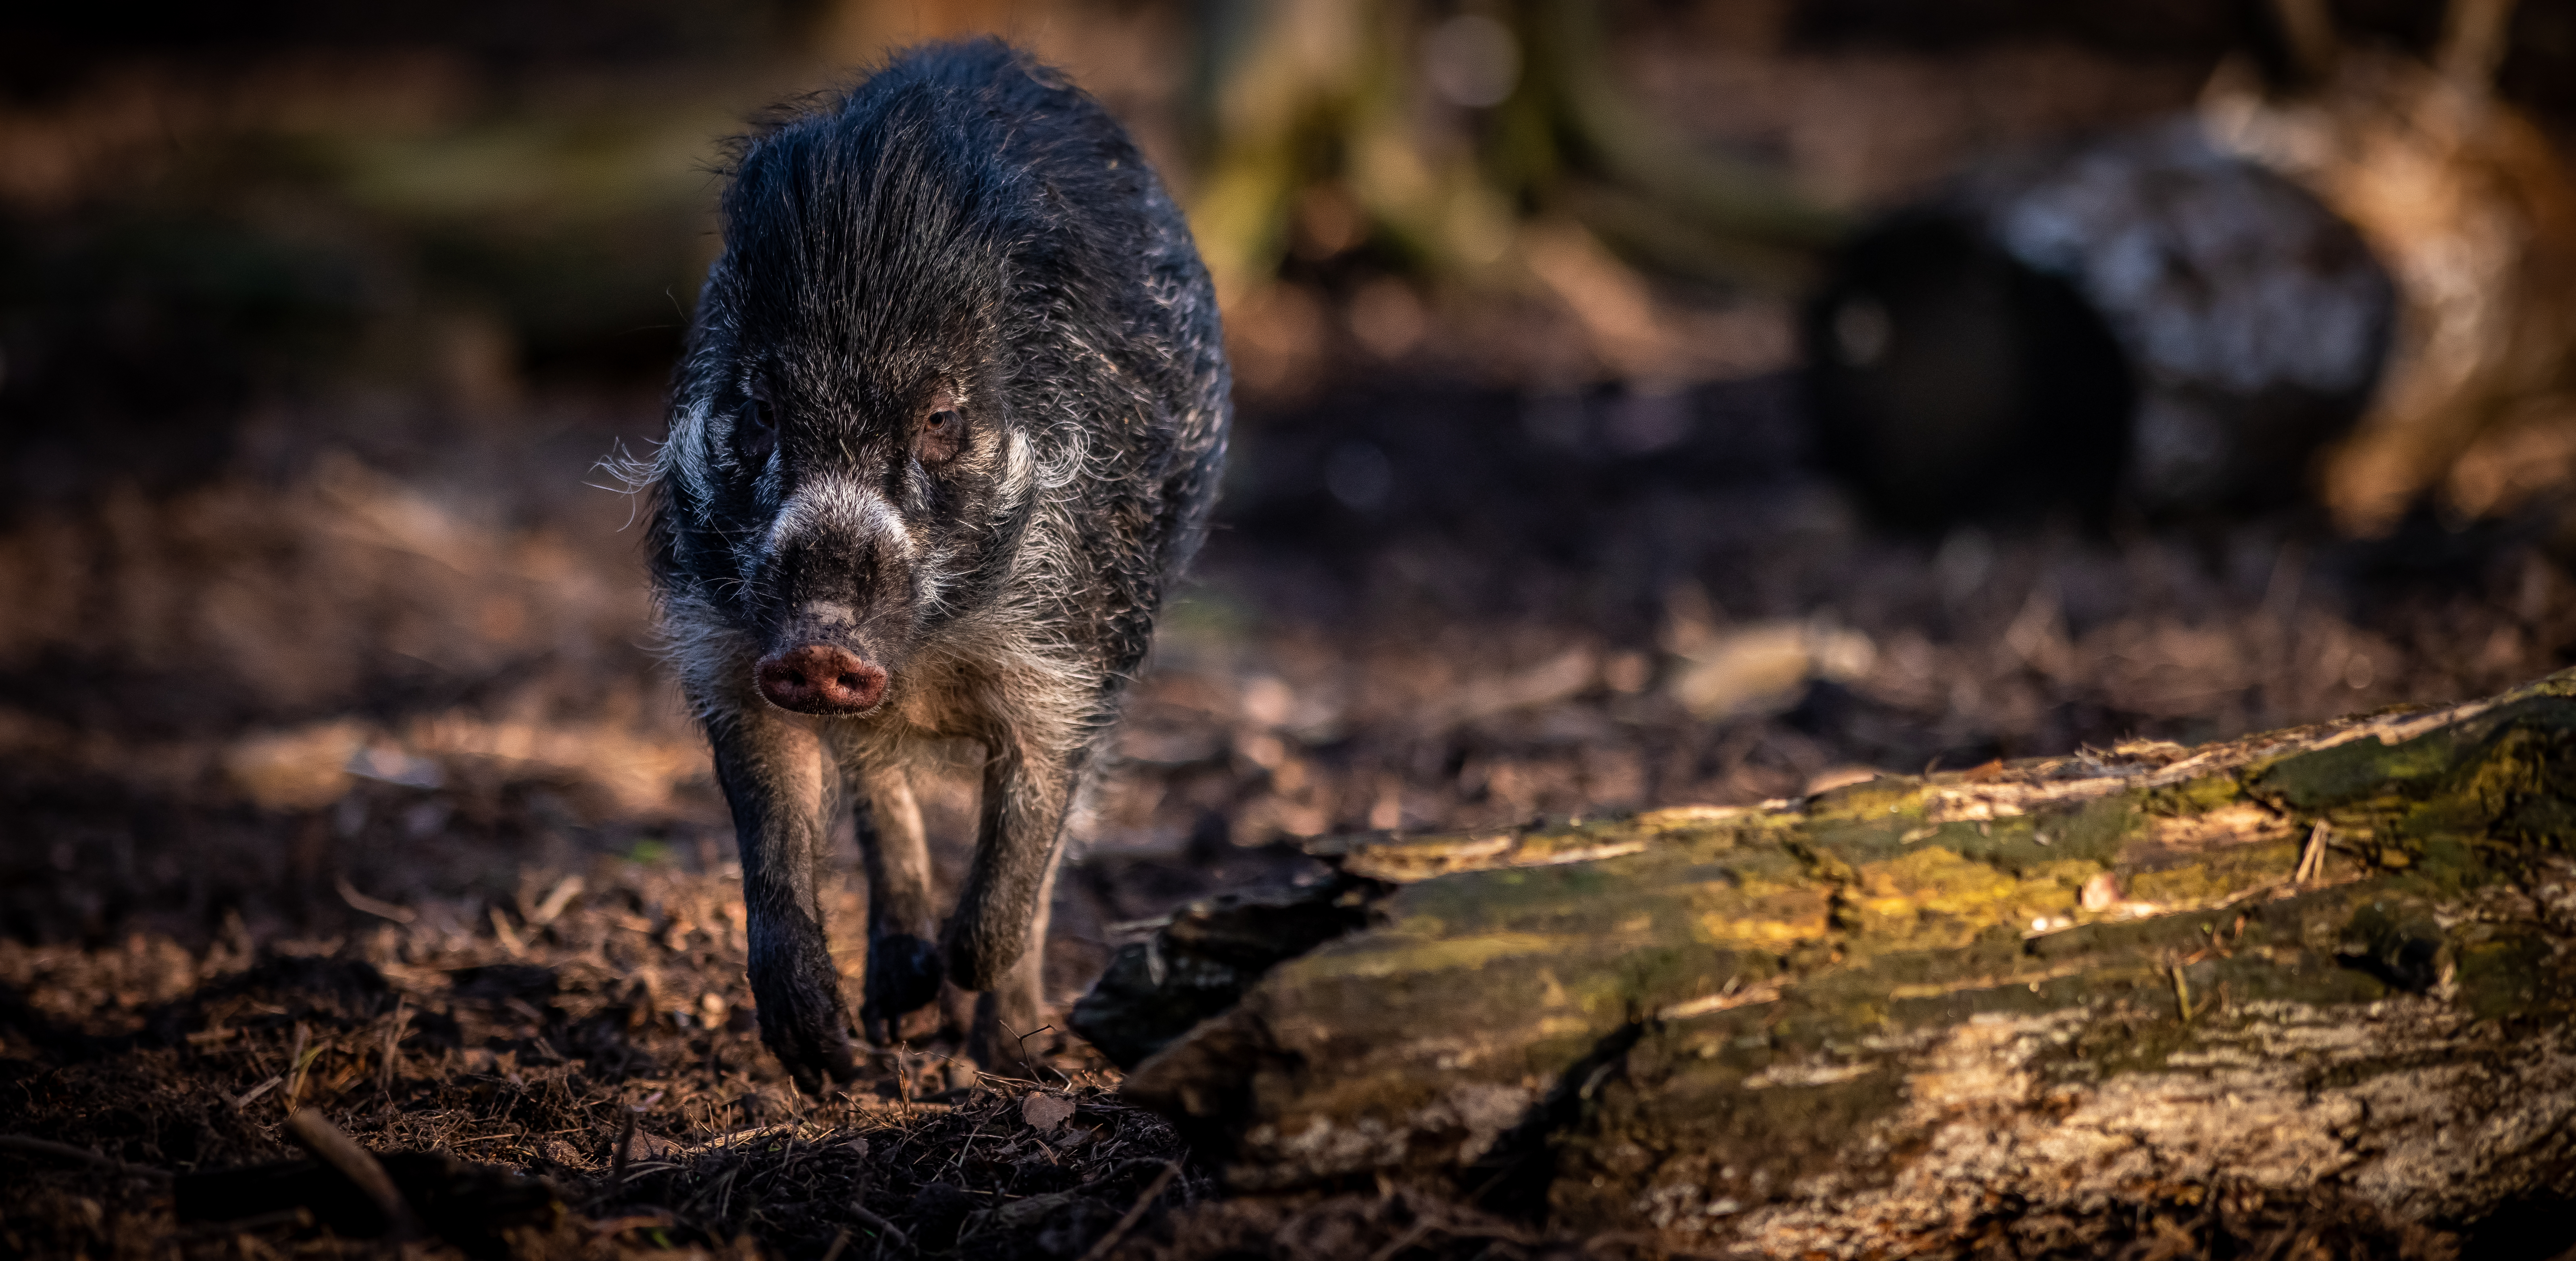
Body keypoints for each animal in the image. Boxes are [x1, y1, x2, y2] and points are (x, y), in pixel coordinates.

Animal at [642, 38, 1229, 1090]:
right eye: (759, 408)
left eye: (941, 416)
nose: (823, 643)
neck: (927, 649)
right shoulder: (727, 649)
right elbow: (777, 840)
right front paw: (824, 1060)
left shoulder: (1071, 660)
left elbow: (1027, 840)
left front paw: (967, 978)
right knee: (880, 788)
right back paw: (897, 1007)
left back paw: (1011, 1051)